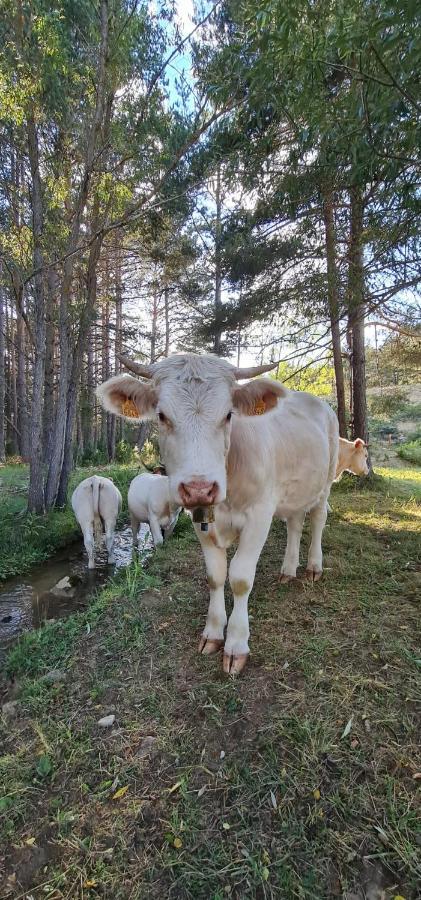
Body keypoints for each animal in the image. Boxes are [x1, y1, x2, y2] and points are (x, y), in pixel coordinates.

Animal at [96, 356, 338, 672]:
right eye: (161, 415)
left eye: (228, 415)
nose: (199, 488)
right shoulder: (200, 520)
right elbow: (215, 575)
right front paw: (212, 632)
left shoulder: (260, 515)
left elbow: (240, 578)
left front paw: (236, 643)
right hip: (294, 492)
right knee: (295, 524)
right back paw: (288, 570)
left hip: (326, 481)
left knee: (318, 519)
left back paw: (313, 567)